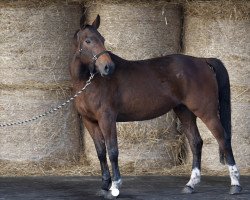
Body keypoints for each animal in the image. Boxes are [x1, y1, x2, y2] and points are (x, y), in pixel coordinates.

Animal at [69, 14, 241, 198]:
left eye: (102, 39)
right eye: (88, 41)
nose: (108, 67)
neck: (90, 81)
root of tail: (202, 61)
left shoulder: (107, 118)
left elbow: (113, 151)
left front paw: (114, 186)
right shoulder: (89, 121)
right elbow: (101, 152)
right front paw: (104, 185)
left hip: (206, 112)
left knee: (223, 139)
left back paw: (235, 185)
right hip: (184, 111)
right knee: (196, 142)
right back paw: (190, 185)